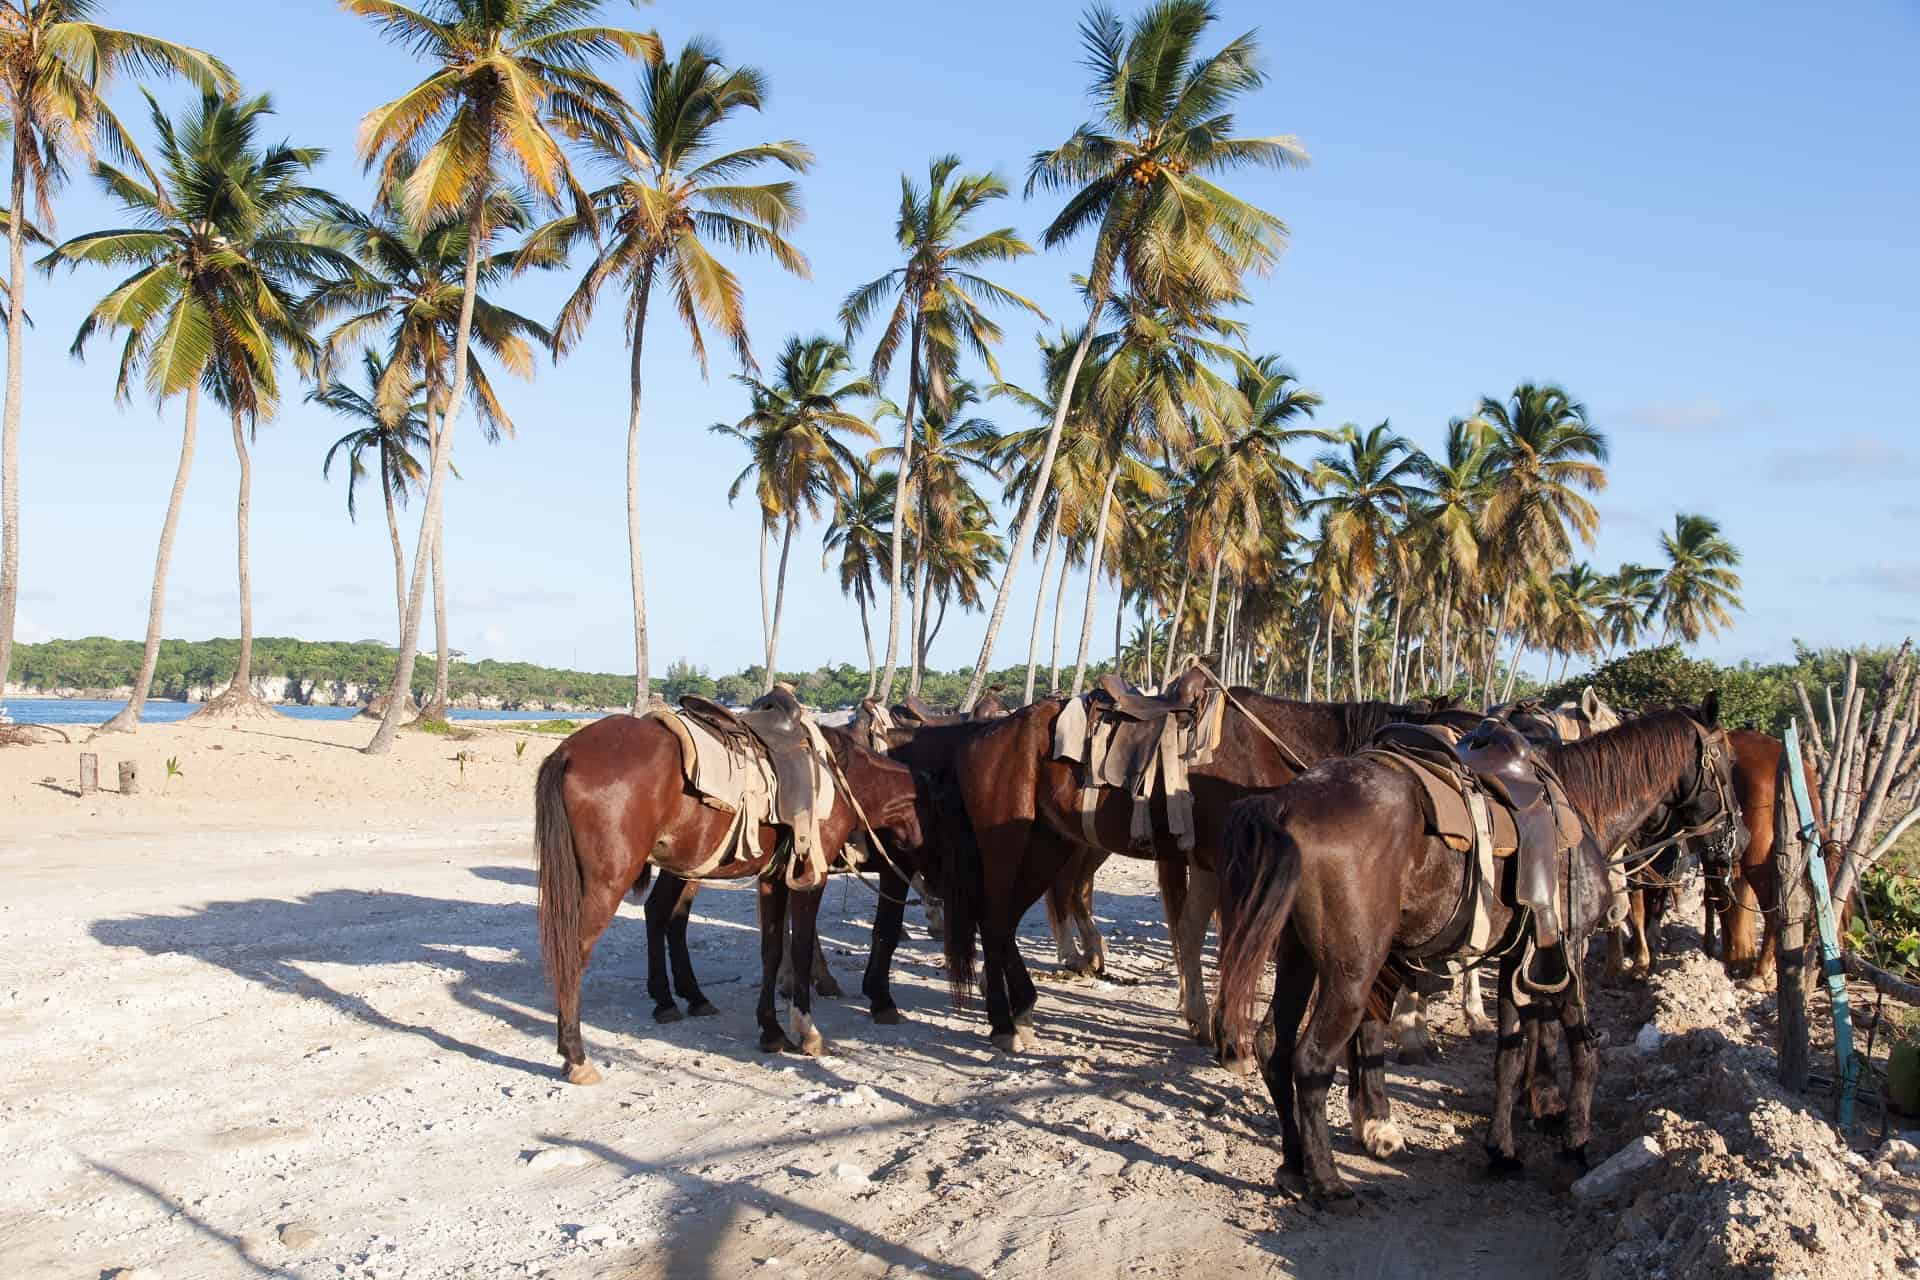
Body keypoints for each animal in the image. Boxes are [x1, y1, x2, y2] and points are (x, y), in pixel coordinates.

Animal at [533, 717, 944, 1090]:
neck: (846, 782)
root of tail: (569, 752)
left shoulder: (773, 879)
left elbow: (773, 951)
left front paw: (772, 1030)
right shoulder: (813, 877)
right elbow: (808, 947)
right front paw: (810, 1030)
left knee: (662, 915)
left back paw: (674, 1000)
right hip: (610, 881)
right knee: (575, 952)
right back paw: (576, 1056)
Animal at [936, 694, 1459, 1059]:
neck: (1273, 753)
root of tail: (979, 736)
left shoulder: (1210, 867)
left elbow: (1190, 933)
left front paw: (1202, 1021)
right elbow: (1233, 945)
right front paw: (1233, 1040)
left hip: (1050, 844)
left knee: (1009, 919)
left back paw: (1018, 1013)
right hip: (1007, 848)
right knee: (996, 919)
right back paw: (1007, 1021)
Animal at [1221, 702, 1751, 1205]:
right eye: (1726, 764)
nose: (1741, 839)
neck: (1580, 806)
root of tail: (1287, 803)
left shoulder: (1519, 959)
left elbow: (1510, 1054)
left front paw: (1503, 1149)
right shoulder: (1569, 949)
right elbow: (1584, 1047)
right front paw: (1575, 1144)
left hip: (1299, 958)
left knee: (1273, 1044)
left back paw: (1294, 1166)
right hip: (1352, 973)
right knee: (1311, 1060)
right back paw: (1328, 1183)